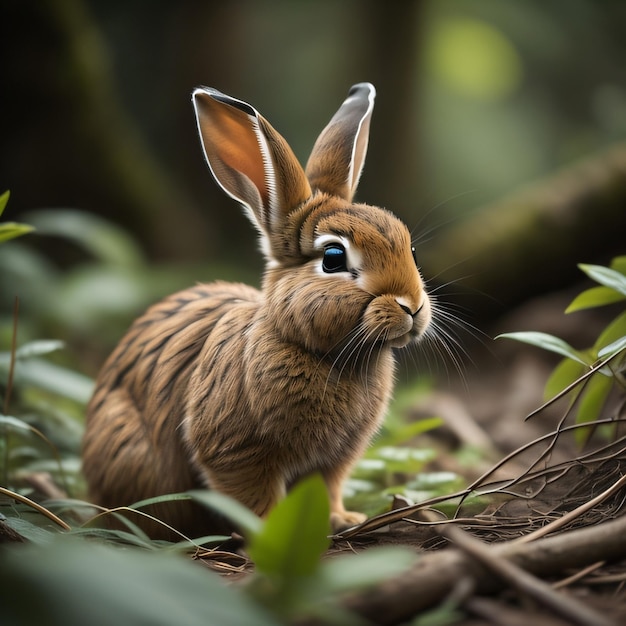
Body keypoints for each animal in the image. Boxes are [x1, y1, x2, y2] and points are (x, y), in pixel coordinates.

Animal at [81, 83, 428, 540]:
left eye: (410, 249)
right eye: (333, 258)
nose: (413, 306)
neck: (319, 351)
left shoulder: (333, 459)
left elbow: (326, 488)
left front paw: (339, 519)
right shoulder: (235, 451)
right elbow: (253, 497)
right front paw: (271, 533)